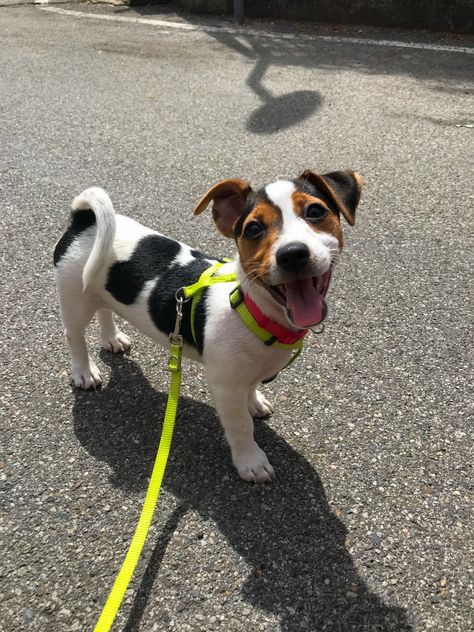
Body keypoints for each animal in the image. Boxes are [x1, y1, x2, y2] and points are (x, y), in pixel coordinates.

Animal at [53, 170, 362, 482]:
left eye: (315, 211)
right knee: (74, 336)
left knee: (105, 309)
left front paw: (254, 402)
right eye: (253, 229)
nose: (293, 253)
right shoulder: (224, 387)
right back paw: (84, 372)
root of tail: (84, 221)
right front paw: (250, 460)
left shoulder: (244, 375)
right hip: (74, 298)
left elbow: (251, 389)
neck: (252, 310)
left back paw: (112, 338)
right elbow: (241, 426)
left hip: (99, 291)